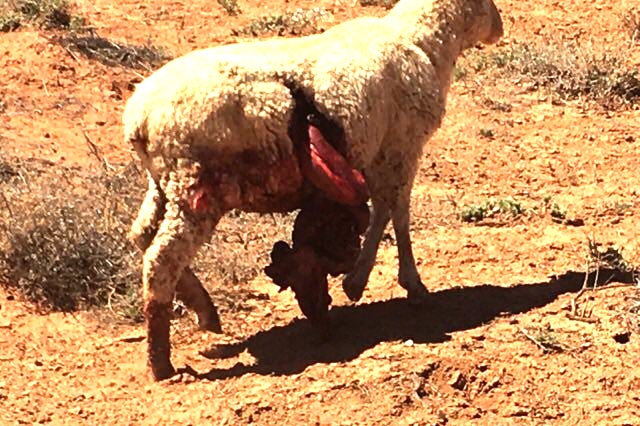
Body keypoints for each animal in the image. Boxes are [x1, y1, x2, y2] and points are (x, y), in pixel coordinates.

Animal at [124, 0, 504, 380]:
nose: (500, 29)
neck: (423, 41)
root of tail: (138, 118)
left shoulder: (379, 154)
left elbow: (383, 211)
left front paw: (358, 281)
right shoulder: (401, 146)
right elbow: (396, 212)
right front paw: (403, 284)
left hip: (165, 184)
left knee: (141, 236)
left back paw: (202, 309)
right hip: (196, 187)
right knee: (160, 259)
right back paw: (162, 362)